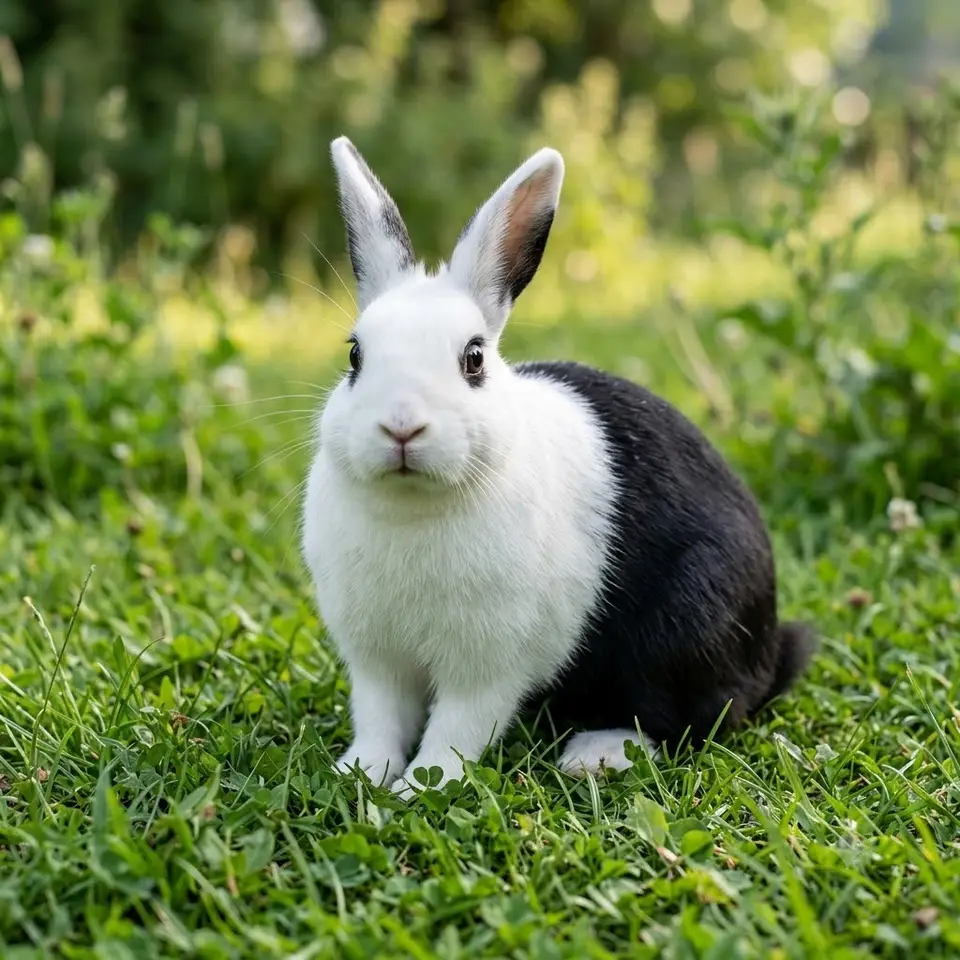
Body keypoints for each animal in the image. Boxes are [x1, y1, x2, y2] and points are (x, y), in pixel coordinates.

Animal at [300, 136, 816, 797]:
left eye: (473, 359)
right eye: (355, 356)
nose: (402, 427)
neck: (413, 506)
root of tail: (772, 645)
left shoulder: (488, 665)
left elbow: (457, 728)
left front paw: (424, 787)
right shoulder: (377, 660)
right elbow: (381, 720)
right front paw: (361, 774)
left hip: (686, 629)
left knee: (692, 716)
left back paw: (597, 753)